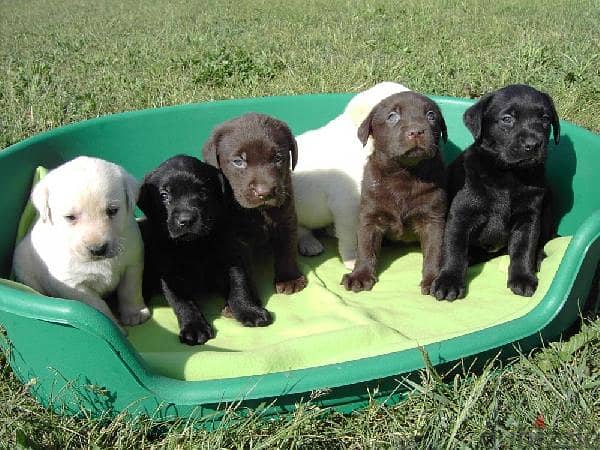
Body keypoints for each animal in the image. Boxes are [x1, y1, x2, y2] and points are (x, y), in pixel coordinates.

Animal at [12, 156, 150, 332]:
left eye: (112, 210)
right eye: (70, 217)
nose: (98, 249)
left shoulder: (133, 262)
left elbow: (130, 290)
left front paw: (134, 313)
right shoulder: (74, 286)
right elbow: (98, 308)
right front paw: (115, 328)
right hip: (24, 269)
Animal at [138, 155, 272, 344]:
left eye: (203, 192)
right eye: (164, 195)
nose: (186, 220)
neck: (195, 245)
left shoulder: (231, 260)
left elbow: (239, 286)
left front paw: (248, 310)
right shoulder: (171, 277)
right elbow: (183, 303)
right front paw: (194, 327)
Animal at [292, 81, 412, 268]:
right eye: (393, 116)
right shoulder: (347, 203)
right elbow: (350, 234)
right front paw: (353, 259)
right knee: (301, 230)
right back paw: (309, 243)